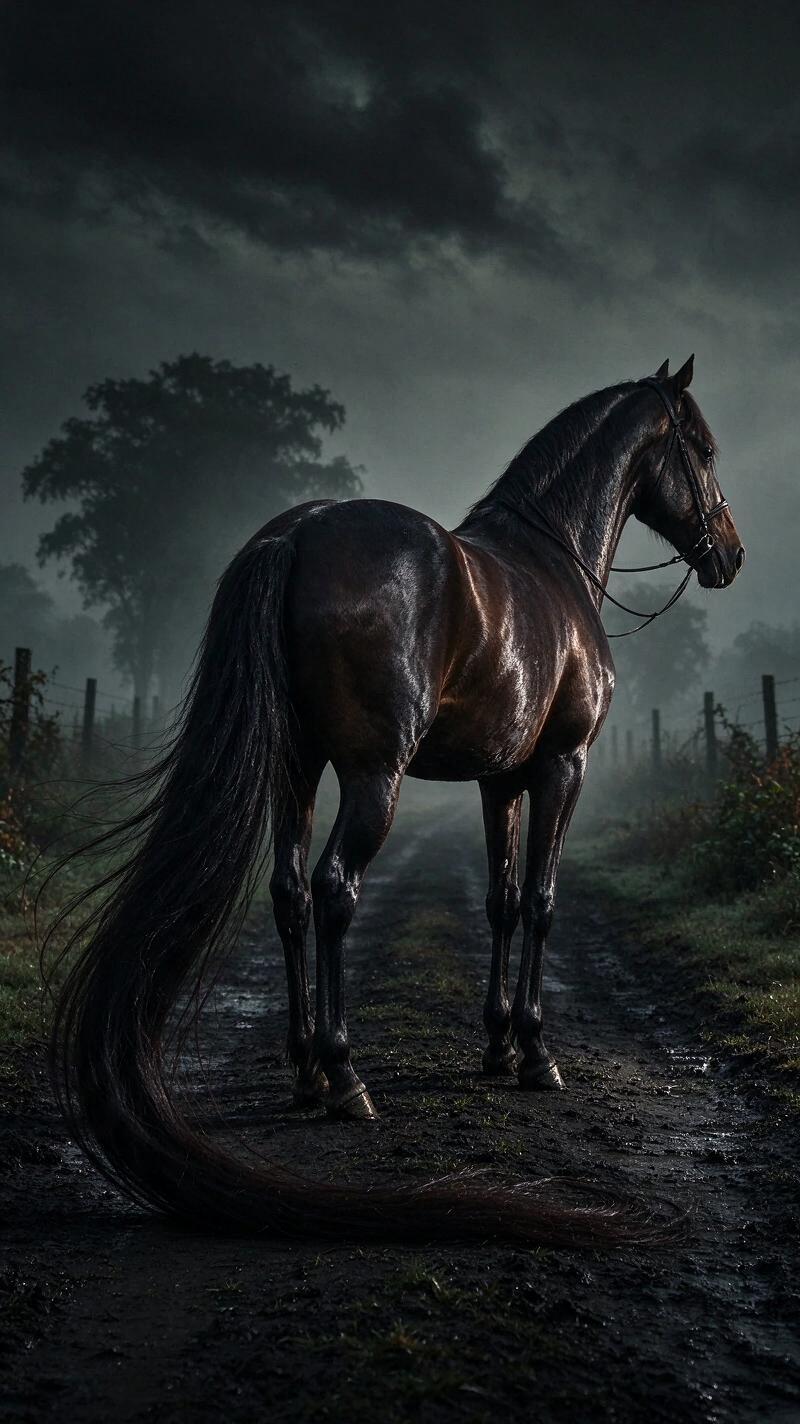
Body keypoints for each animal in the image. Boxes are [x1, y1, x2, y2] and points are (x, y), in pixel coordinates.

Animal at [50, 356, 744, 1246]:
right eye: (705, 449)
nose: (731, 554)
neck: (553, 566)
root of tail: (296, 537)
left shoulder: (499, 780)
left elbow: (501, 903)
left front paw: (497, 1046)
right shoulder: (563, 768)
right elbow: (542, 903)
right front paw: (536, 1053)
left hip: (297, 768)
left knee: (289, 895)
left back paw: (306, 1069)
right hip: (372, 775)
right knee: (334, 890)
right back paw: (344, 1076)